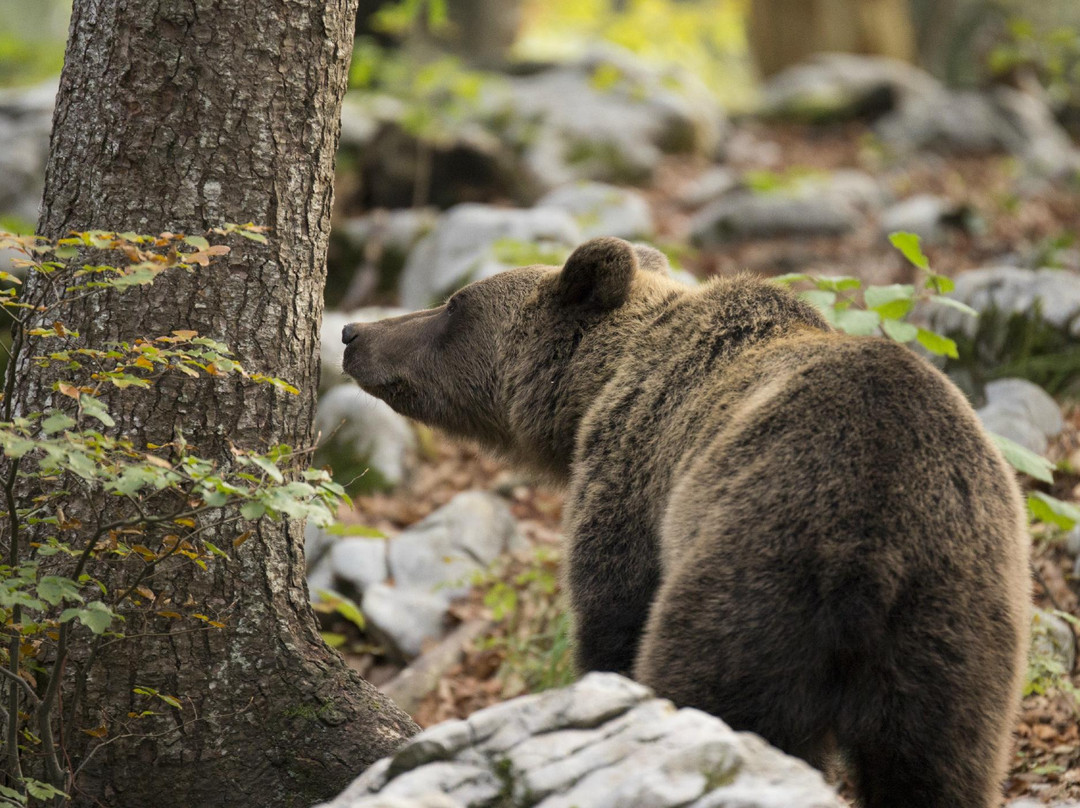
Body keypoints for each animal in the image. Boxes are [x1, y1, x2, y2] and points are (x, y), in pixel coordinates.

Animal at [341, 236, 1032, 803]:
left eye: (453, 306)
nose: (352, 332)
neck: (596, 387)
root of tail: (876, 550)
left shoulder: (633, 474)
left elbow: (612, 612)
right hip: (956, 636)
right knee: (939, 768)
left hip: (755, 575)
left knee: (716, 695)